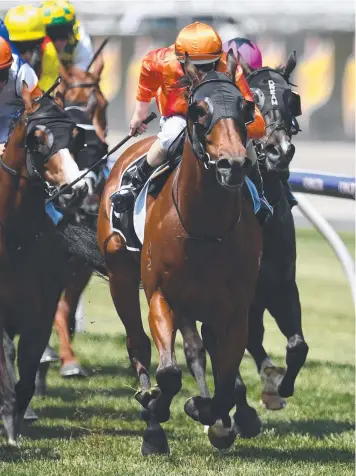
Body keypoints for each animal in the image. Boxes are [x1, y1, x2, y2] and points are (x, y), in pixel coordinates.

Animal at [96, 51, 262, 454]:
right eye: (198, 110)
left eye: (246, 107)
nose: (233, 164)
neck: (205, 228)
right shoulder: (161, 294)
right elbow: (169, 373)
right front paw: (157, 418)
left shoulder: (234, 309)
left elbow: (225, 380)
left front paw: (209, 414)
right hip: (121, 274)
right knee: (138, 344)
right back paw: (148, 409)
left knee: (202, 351)